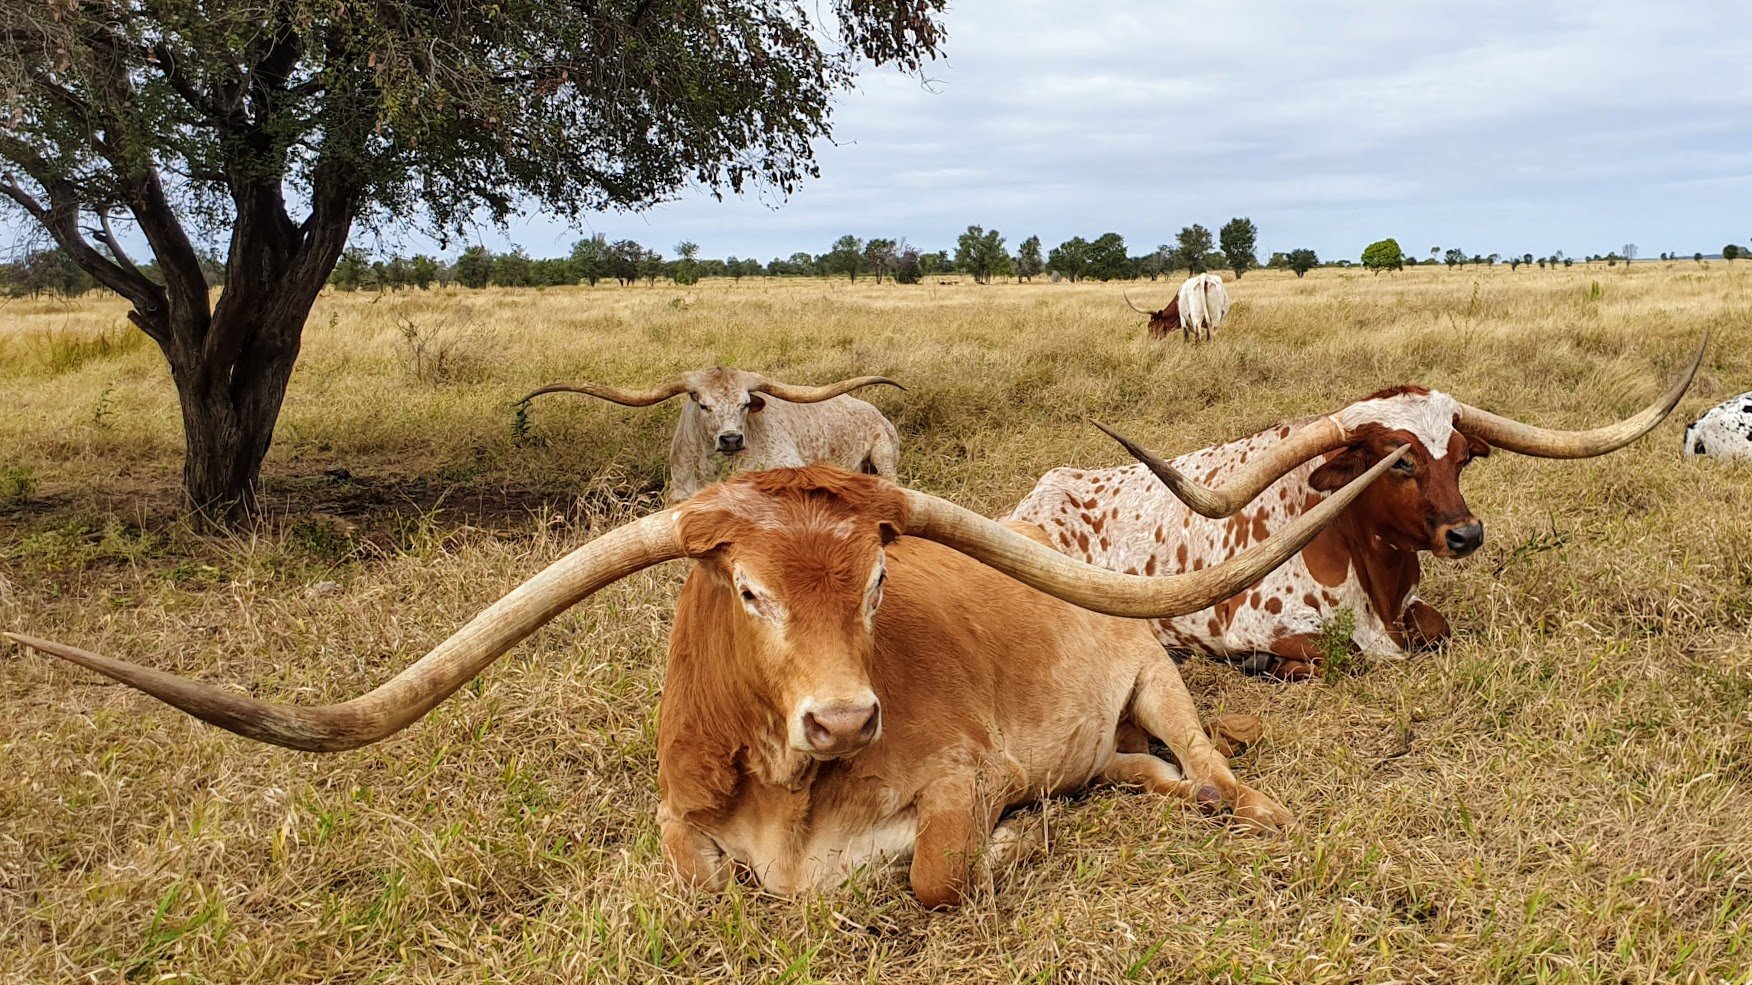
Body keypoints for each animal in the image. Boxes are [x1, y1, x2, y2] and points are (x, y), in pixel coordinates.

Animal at [0, 448, 1394, 904]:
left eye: (878, 583)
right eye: (749, 589)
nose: (846, 713)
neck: (783, 787)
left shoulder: (967, 774)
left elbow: (938, 874)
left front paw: (1024, 843)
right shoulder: (679, 819)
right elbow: (700, 887)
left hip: (1153, 672)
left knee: (1209, 765)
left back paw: (1243, 804)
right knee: (1140, 773)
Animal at [515, 366, 904, 501]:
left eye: (746, 404)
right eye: (703, 404)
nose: (731, 439)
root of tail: (875, 411)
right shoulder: (676, 493)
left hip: (885, 456)